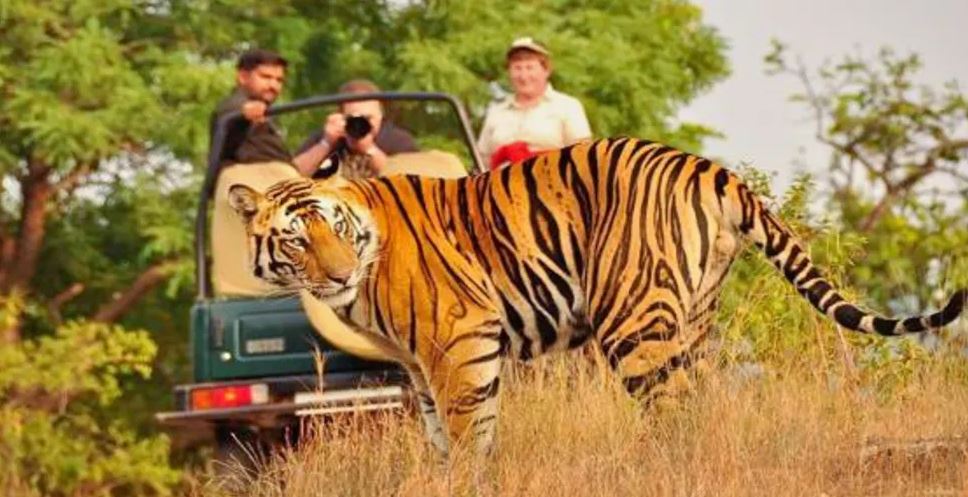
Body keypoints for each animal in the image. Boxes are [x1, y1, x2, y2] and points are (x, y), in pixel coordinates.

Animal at [225, 138, 960, 456]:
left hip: (634, 321)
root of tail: (711, 168)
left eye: (334, 226)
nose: (337, 274)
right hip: (692, 319)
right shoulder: (420, 365)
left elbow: (468, 434)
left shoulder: (460, 340)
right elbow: (442, 436)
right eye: (296, 240)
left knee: (674, 414)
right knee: (702, 405)